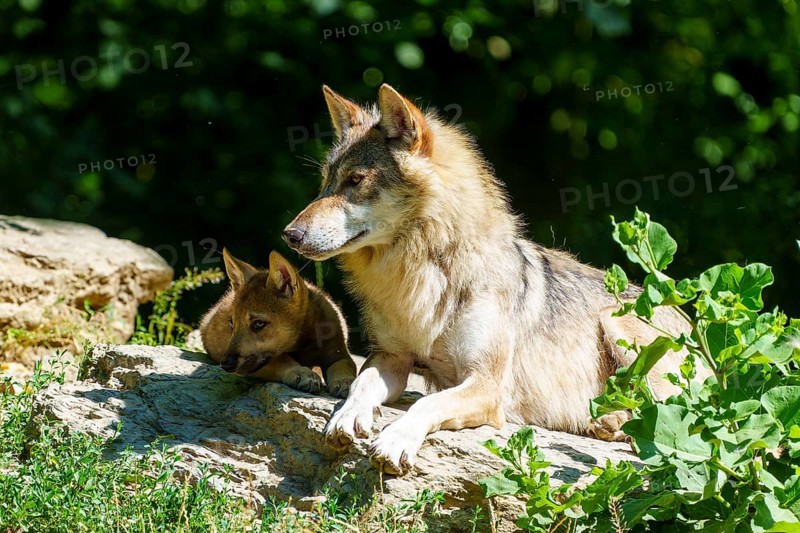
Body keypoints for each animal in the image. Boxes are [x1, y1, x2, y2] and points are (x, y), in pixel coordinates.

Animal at [200, 248, 356, 398]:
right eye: (231, 324)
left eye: (258, 324)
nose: (225, 364)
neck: (304, 344)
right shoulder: (259, 364)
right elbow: (281, 359)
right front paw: (303, 373)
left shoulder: (339, 353)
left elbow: (344, 366)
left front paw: (345, 382)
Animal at [282, 84, 701, 475]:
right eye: (326, 182)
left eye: (356, 180)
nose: (290, 235)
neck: (424, 268)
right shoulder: (391, 358)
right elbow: (361, 384)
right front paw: (346, 415)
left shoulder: (485, 385)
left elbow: (428, 403)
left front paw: (395, 440)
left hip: (617, 323)